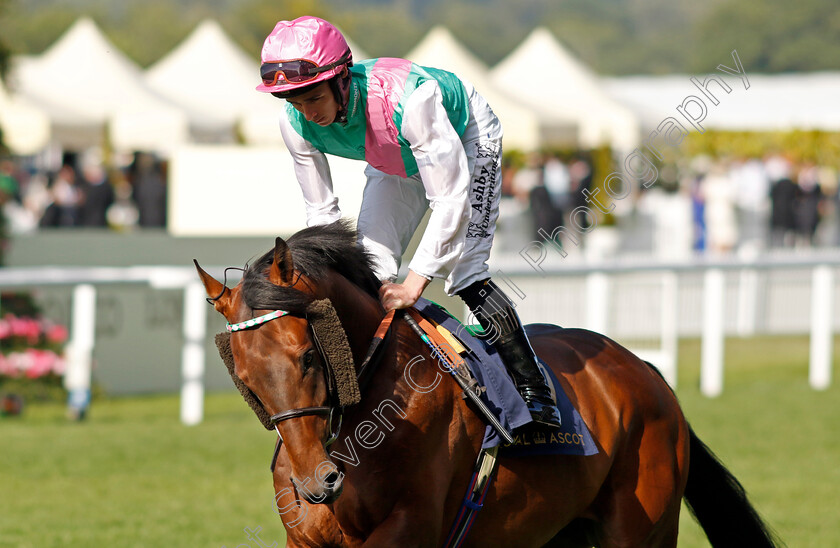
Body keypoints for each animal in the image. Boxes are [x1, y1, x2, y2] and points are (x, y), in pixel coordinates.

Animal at [194, 220, 776, 544]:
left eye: (308, 359)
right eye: (245, 378)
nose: (317, 482)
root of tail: (649, 374)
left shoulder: (409, 528)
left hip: (641, 531)